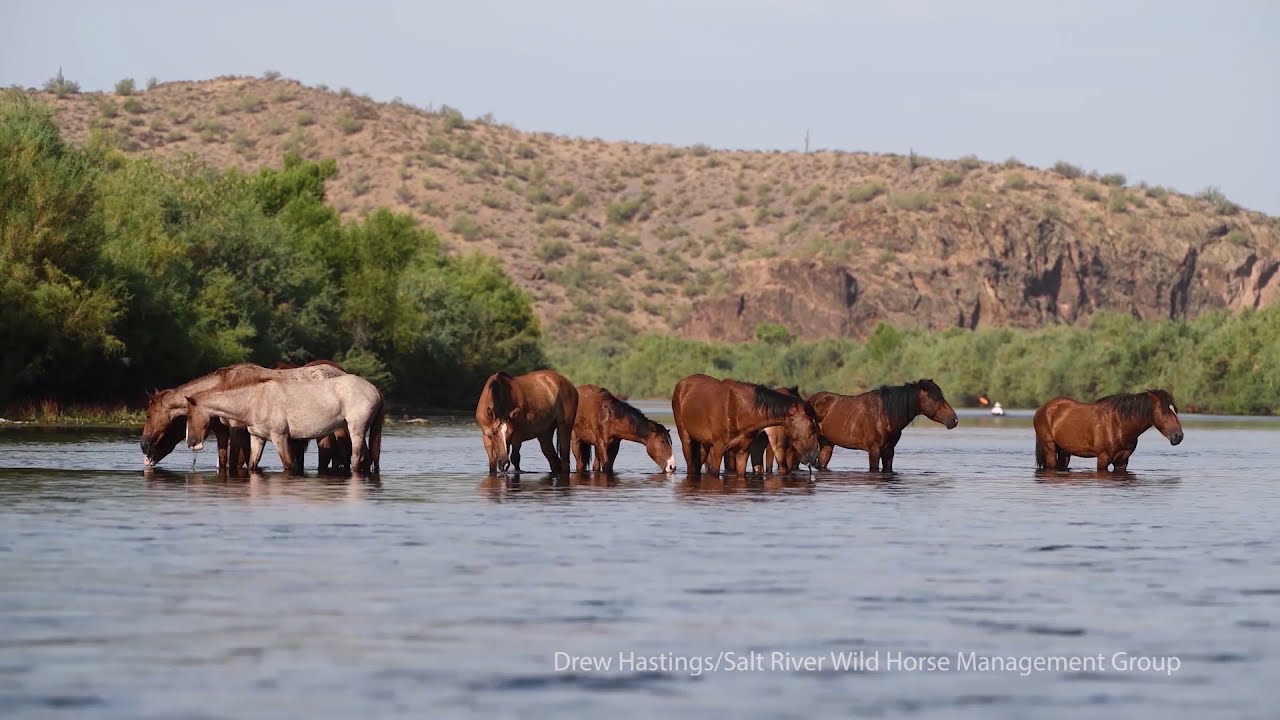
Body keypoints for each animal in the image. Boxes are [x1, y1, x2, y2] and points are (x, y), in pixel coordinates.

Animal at [185, 371, 381, 474]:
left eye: (190, 415)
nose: (191, 443)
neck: (255, 400)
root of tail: (375, 390)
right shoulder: (257, 438)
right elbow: (253, 465)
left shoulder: (280, 437)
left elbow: (288, 465)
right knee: (368, 458)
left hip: (356, 430)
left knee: (357, 459)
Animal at [670, 368, 819, 476]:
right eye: (812, 427)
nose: (813, 457)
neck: (739, 410)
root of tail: (681, 383)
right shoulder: (718, 449)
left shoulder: (743, 451)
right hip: (686, 438)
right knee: (690, 464)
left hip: (704, 444)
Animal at [803, 376, 957, 471]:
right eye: (935, 398)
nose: (954, 419)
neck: (885, 414)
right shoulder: (874, 450)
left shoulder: (889, 451)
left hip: (827, 443)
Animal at [1034, 386, 1182, 471]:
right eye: (1164, 412)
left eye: (1175, 410)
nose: (1178, 436)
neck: (1119, 425)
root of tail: (1043, 409)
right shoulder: (1103, 458)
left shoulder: (1122, 461)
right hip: (1050, 448)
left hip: (1064, 452)